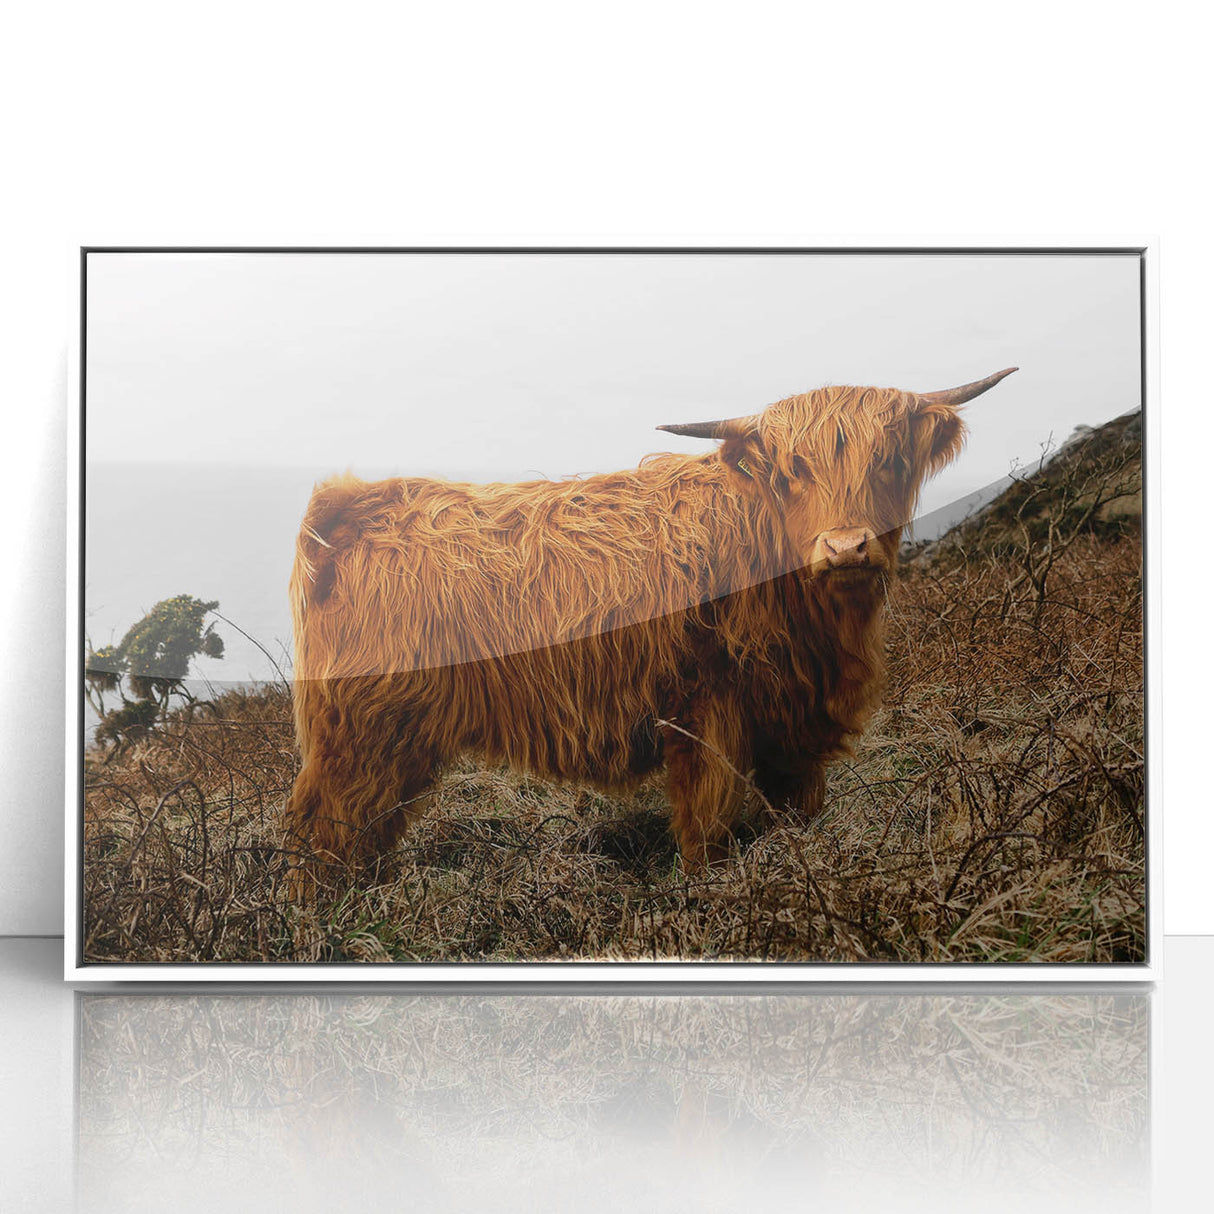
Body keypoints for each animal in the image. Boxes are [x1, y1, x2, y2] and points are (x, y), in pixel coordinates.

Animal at [283, 368, 1016, 887]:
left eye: (890, 460)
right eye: (792, 470)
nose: (846, 547)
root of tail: (350, 504)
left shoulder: (793, 724)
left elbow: (795, 813)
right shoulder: (706, 712)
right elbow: (706, 826)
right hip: (363, 733)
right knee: (323, 832)